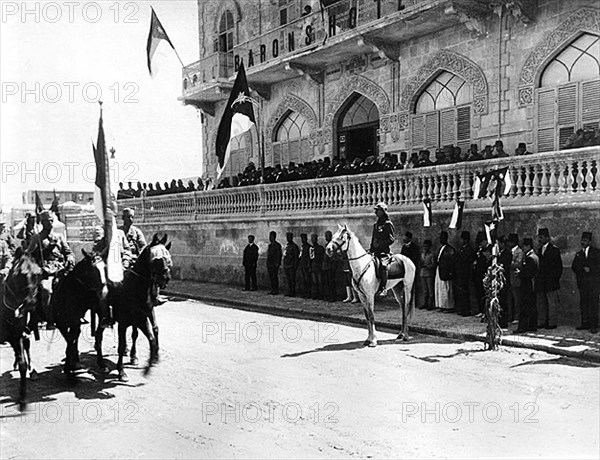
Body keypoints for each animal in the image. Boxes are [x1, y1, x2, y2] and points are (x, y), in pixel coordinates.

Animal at [0, 255, 42, 410]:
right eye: (22, 274)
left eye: (38, 273)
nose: (30, 303)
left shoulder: (16, 337)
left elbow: (23, 364)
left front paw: (22, 400)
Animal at [95, 234, 172, 380]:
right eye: (156, 259)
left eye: (168, 258)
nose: (165, 279)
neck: (135, 288)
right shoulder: (123, 323)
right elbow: (121, 345)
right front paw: (121, 371)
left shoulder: (144, 316)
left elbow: (152, 335)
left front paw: (152, 359)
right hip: (103, 316)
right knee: (98, 335)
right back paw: (101, 363)